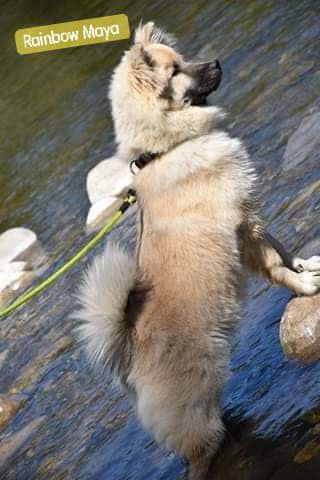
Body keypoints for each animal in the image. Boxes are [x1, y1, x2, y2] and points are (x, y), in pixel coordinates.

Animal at [75, 20, 320, 478]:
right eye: (176, 72)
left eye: (182, 60)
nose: (218, 62)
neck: (165, 149)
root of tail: (129, 349)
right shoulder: (243, 226)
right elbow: (274, 264)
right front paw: (305, 287)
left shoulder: (252, 217)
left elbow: (282, 249)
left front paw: (309, 267)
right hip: (192, 404)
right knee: (197, 452)